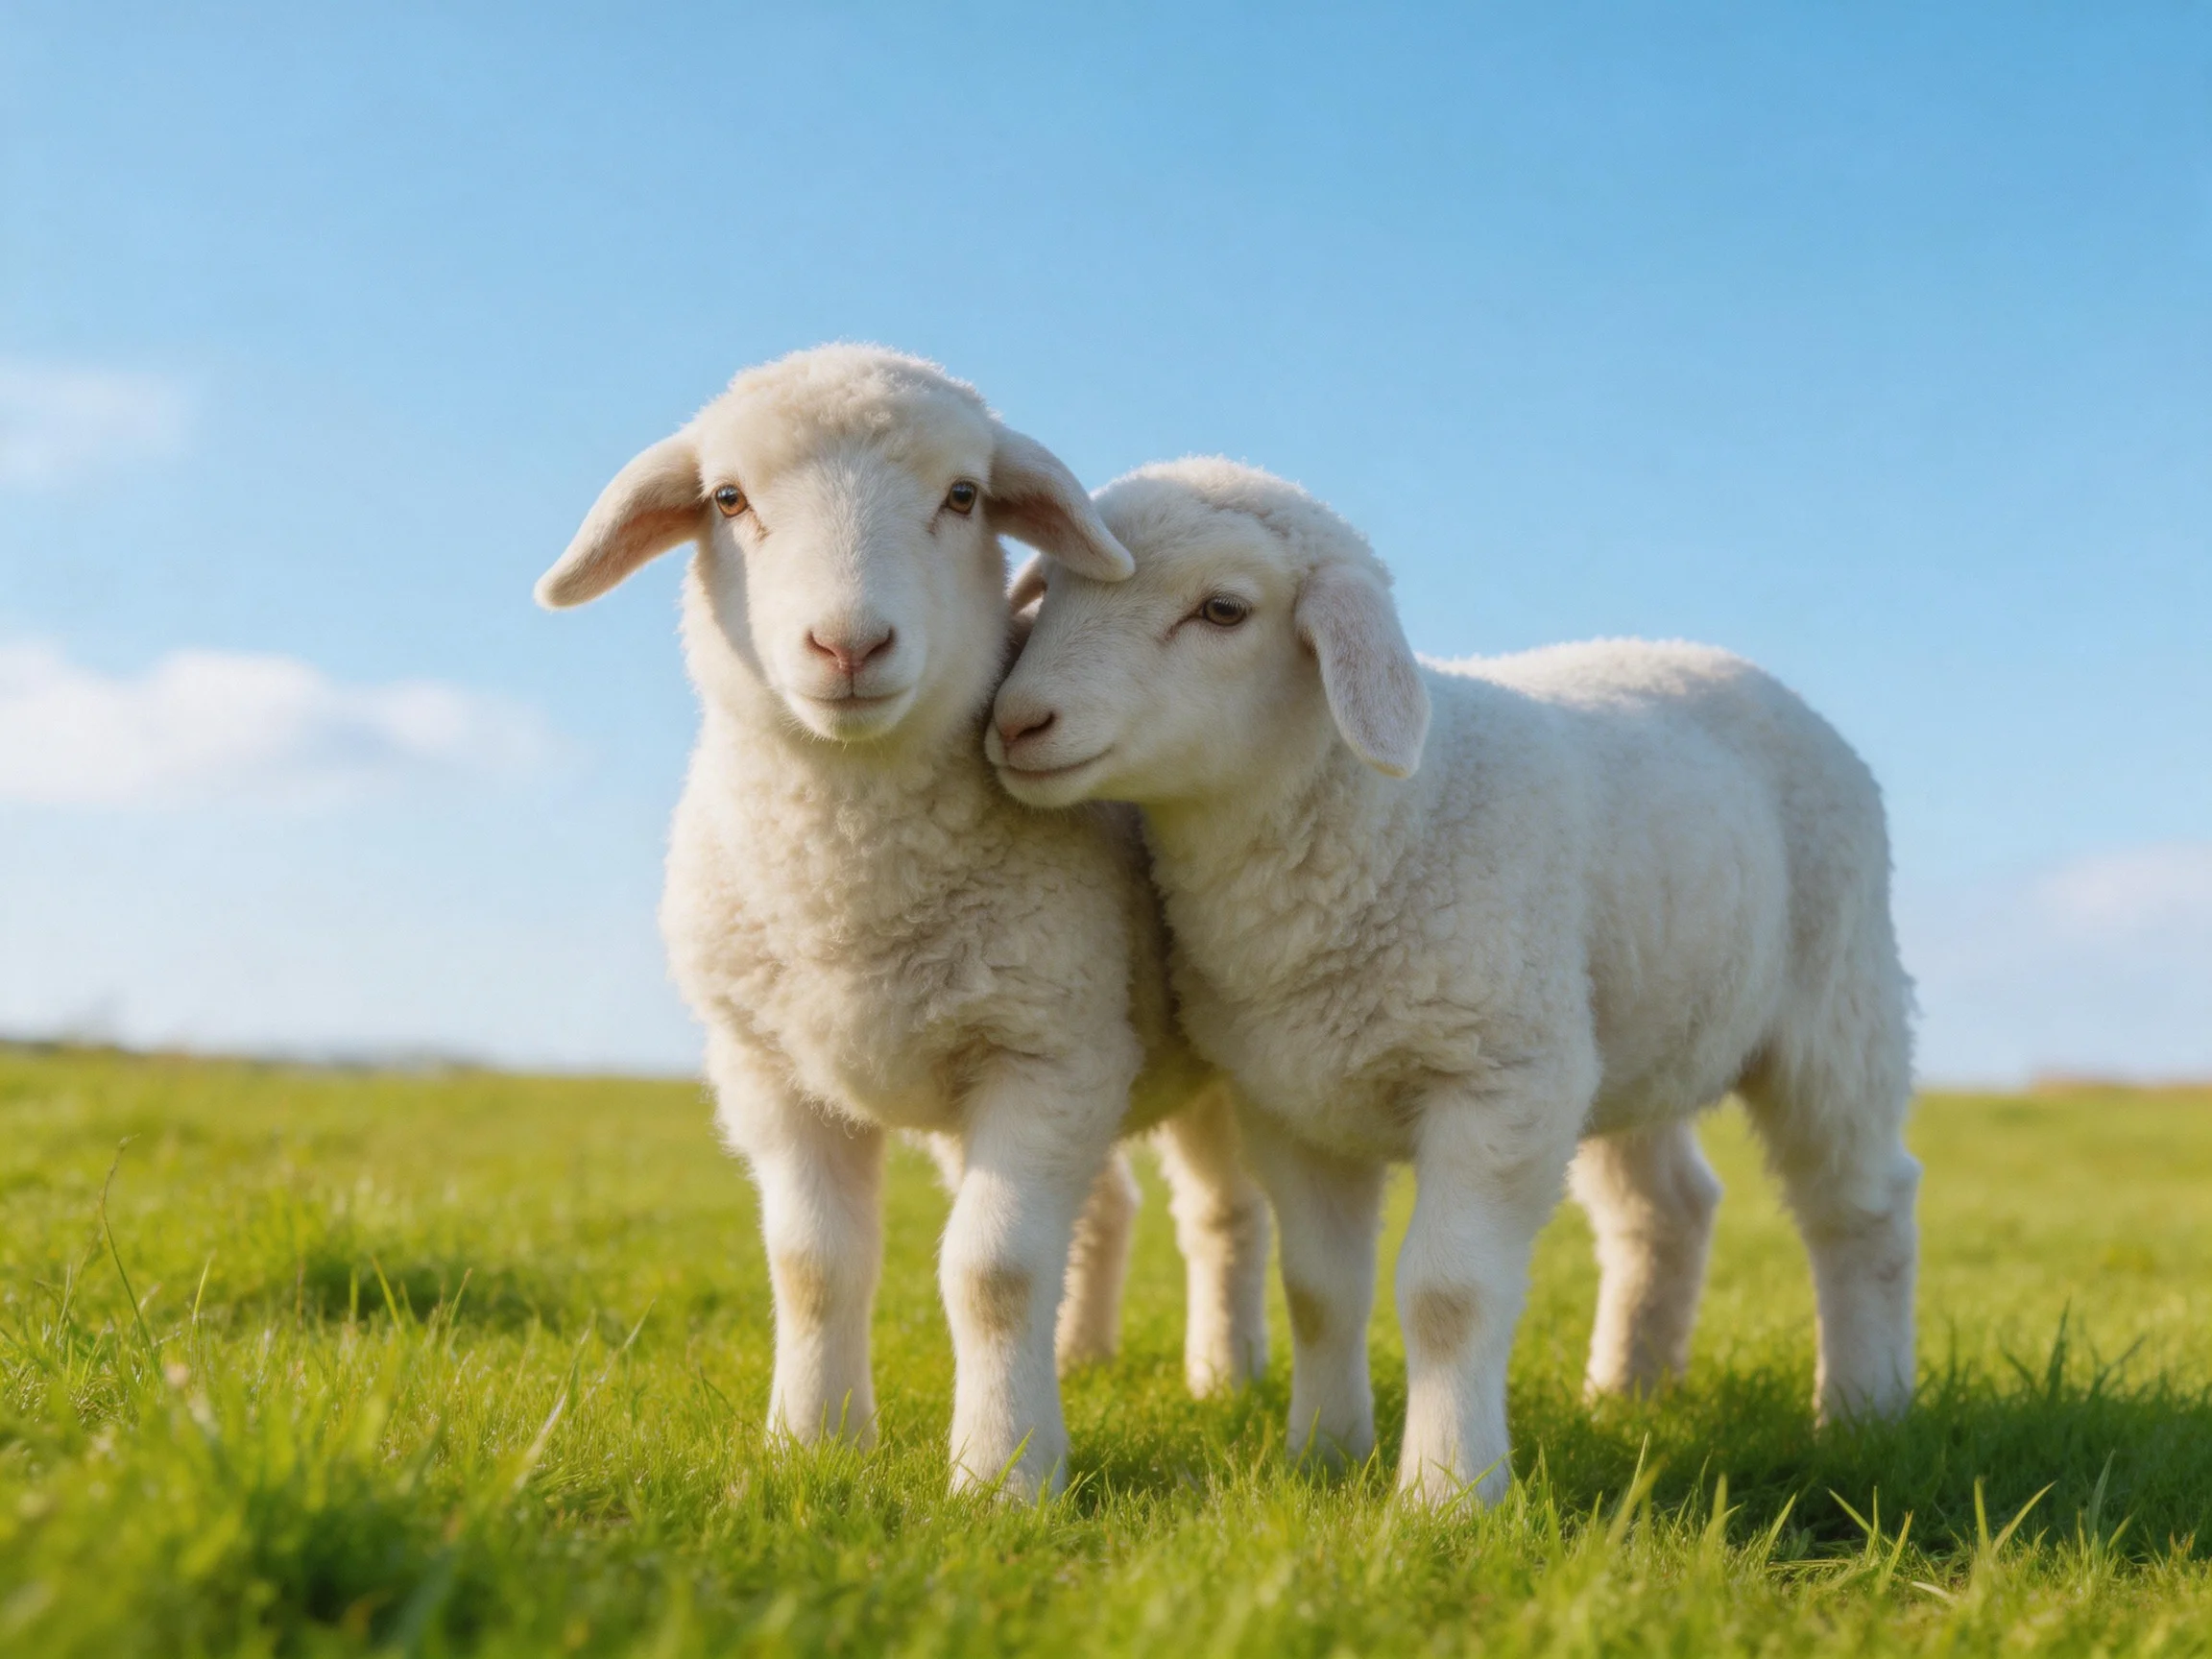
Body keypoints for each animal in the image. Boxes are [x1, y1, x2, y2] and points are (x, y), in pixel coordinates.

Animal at [534, 354, 1272, 1498]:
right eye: (728, 499)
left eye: (963, 496)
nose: (849, 644)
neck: (847, 889)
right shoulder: (771, 1070)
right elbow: (812, 1267)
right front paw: (811, 1442)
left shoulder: (1046, 1053)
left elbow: (993, 1271)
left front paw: (1003, 1475)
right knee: (1105, 1206)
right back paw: (1079, 1359)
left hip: (1196, 1070)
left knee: (1223, 1217)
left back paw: (1222, 1377)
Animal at [988, 457, 1920, 1506]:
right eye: (1052, 590)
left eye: (1223, 610)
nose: (1017, 721)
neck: (1391, 819)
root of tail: (1715, 655)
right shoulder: (1293, 1102)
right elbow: (1320, 1293)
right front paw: (1324, 1456)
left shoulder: (1497, 1082)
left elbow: (1448, 1295)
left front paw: (1447, 1491)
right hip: (1627, 1030)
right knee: (1667, 1209)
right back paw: (1625, 1392)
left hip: (1837, 1000)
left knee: (1861, 1205)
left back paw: (1863, 1411)